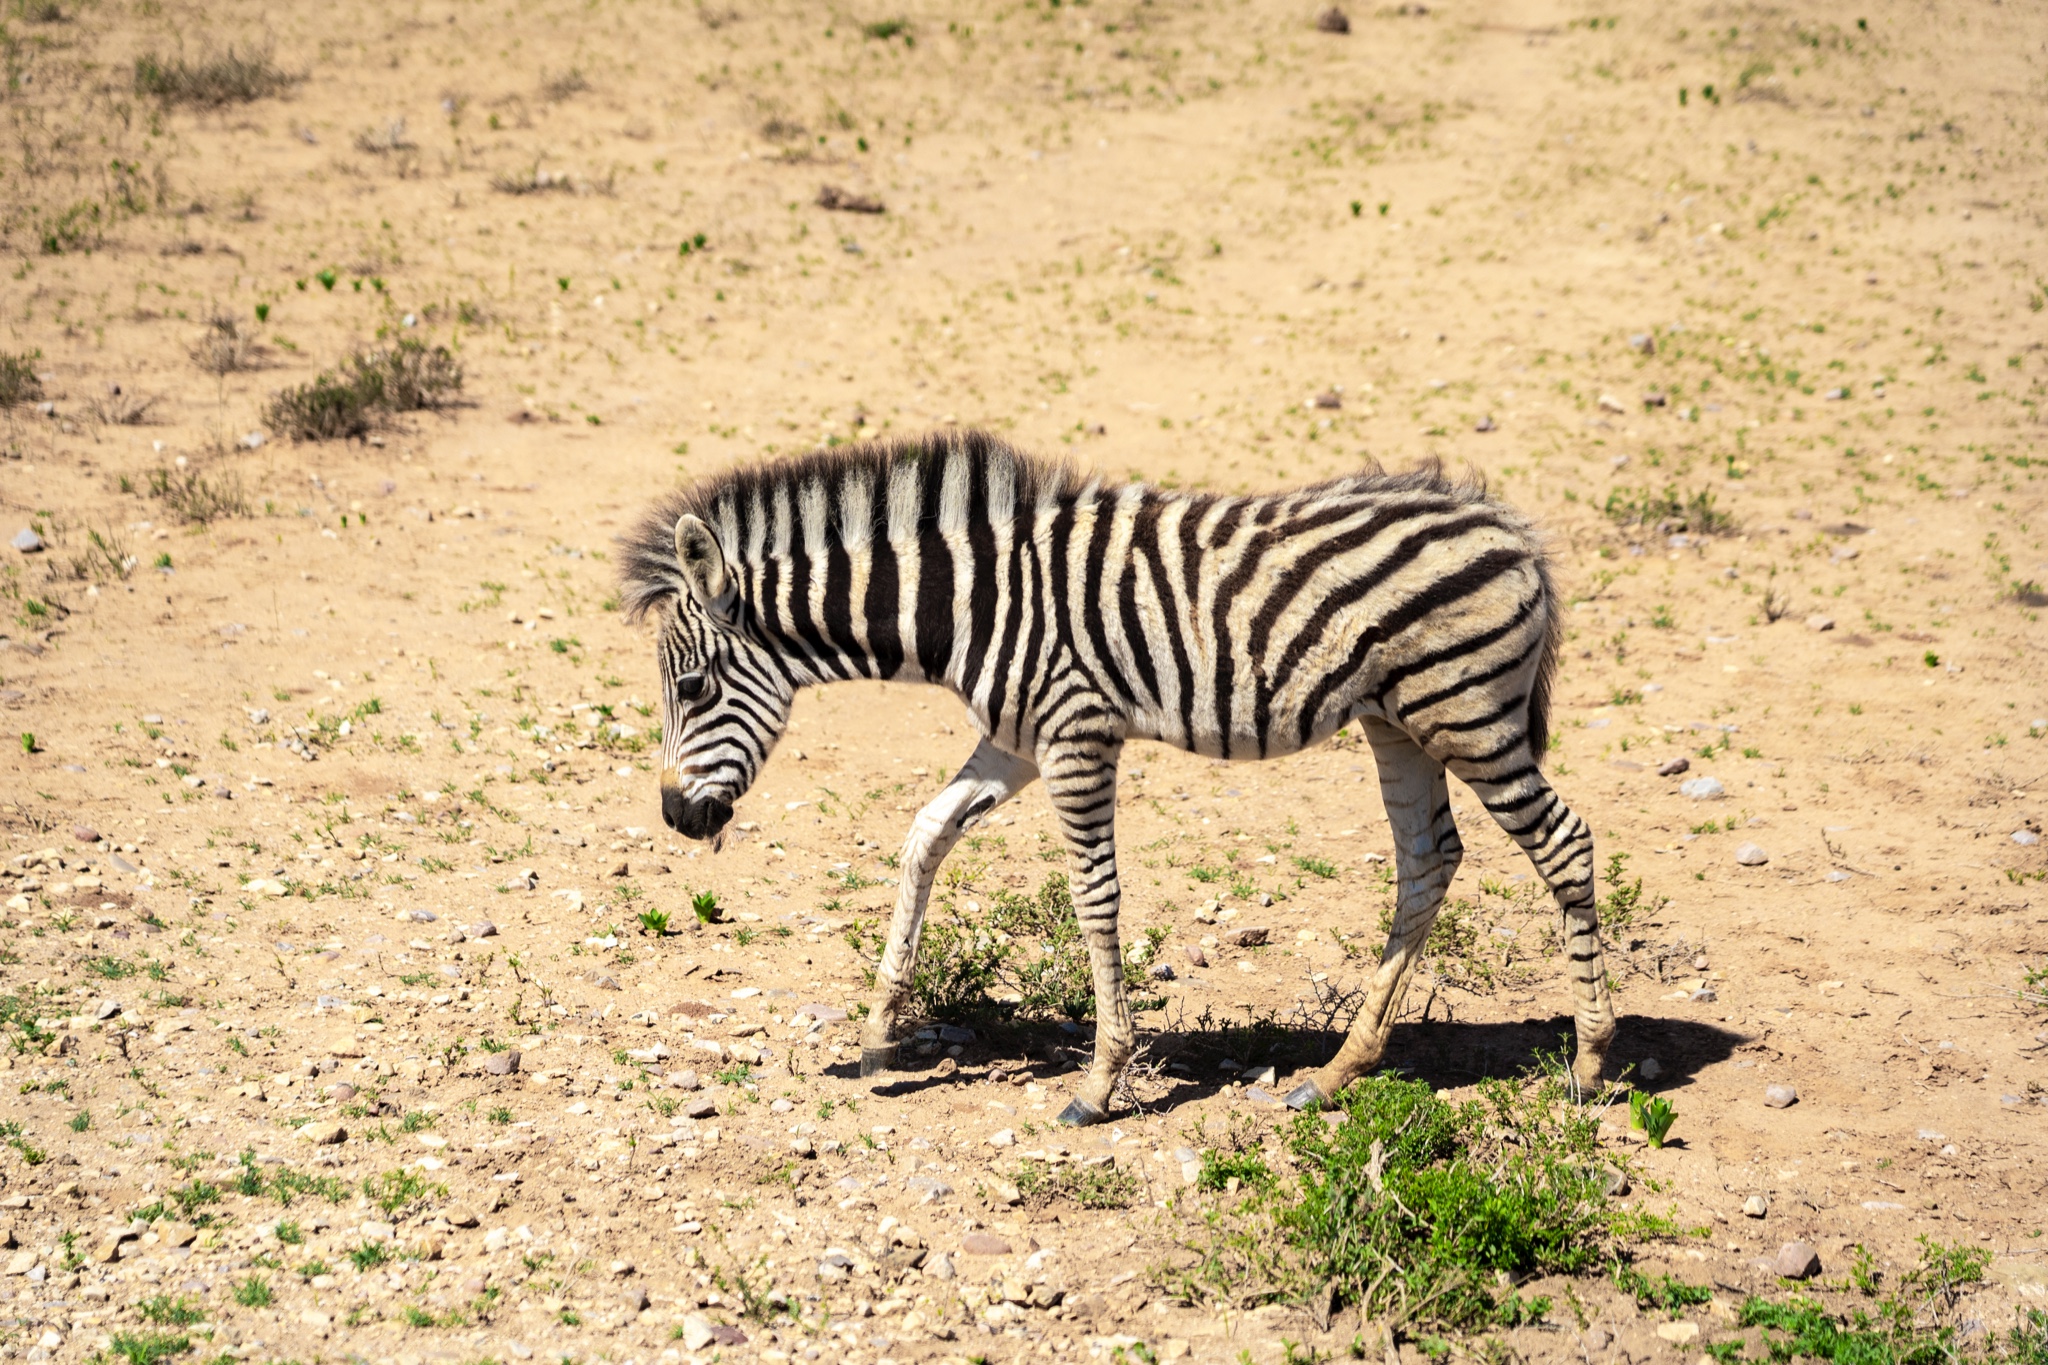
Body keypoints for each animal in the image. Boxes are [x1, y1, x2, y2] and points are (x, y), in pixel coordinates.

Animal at [618, 431, 1613, 1129]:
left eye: (693, 688)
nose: (672, 816)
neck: (970, 605)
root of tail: (1510, 528)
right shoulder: (1015, 739)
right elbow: (923, 837)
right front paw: (877, 1034)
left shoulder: (1075, 734)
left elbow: (1094, 897)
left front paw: (1098, 1083)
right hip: (1398, 720)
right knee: (1426, 859)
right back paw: (1338, 1072)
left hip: (1466, 713)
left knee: (1564, 843)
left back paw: (1591, 1063)